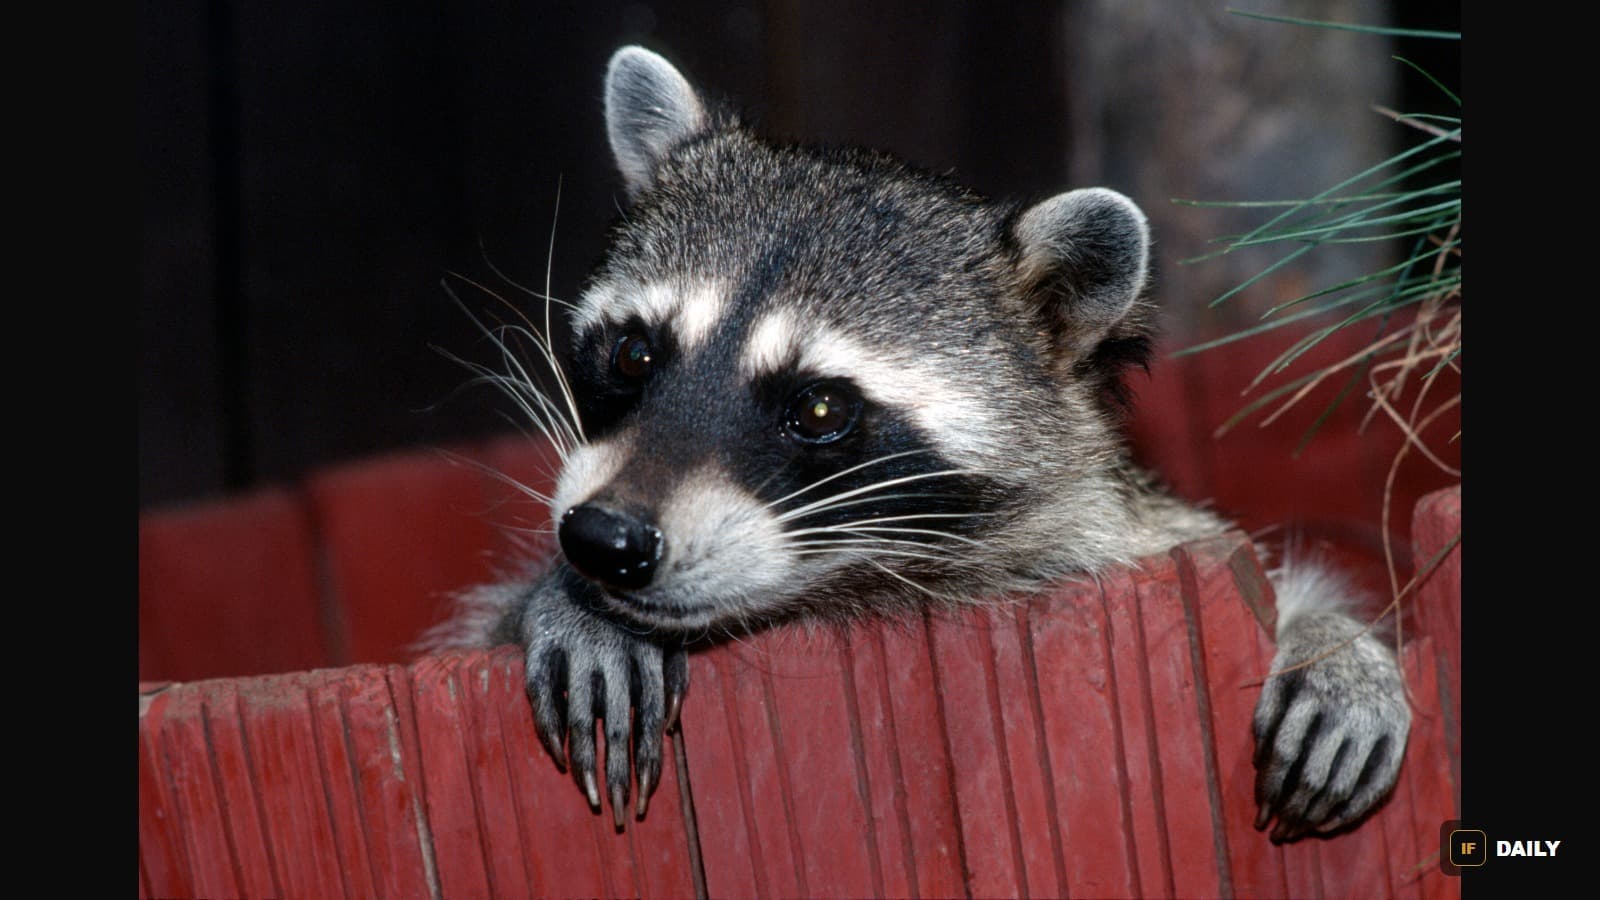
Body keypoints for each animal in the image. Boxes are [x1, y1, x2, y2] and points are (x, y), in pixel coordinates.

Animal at [429, 45, 1411, 845]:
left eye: (820, 409)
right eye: (634, 353)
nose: (605, 540)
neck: (848, 589)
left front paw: (1330, 639)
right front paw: (564, 602)